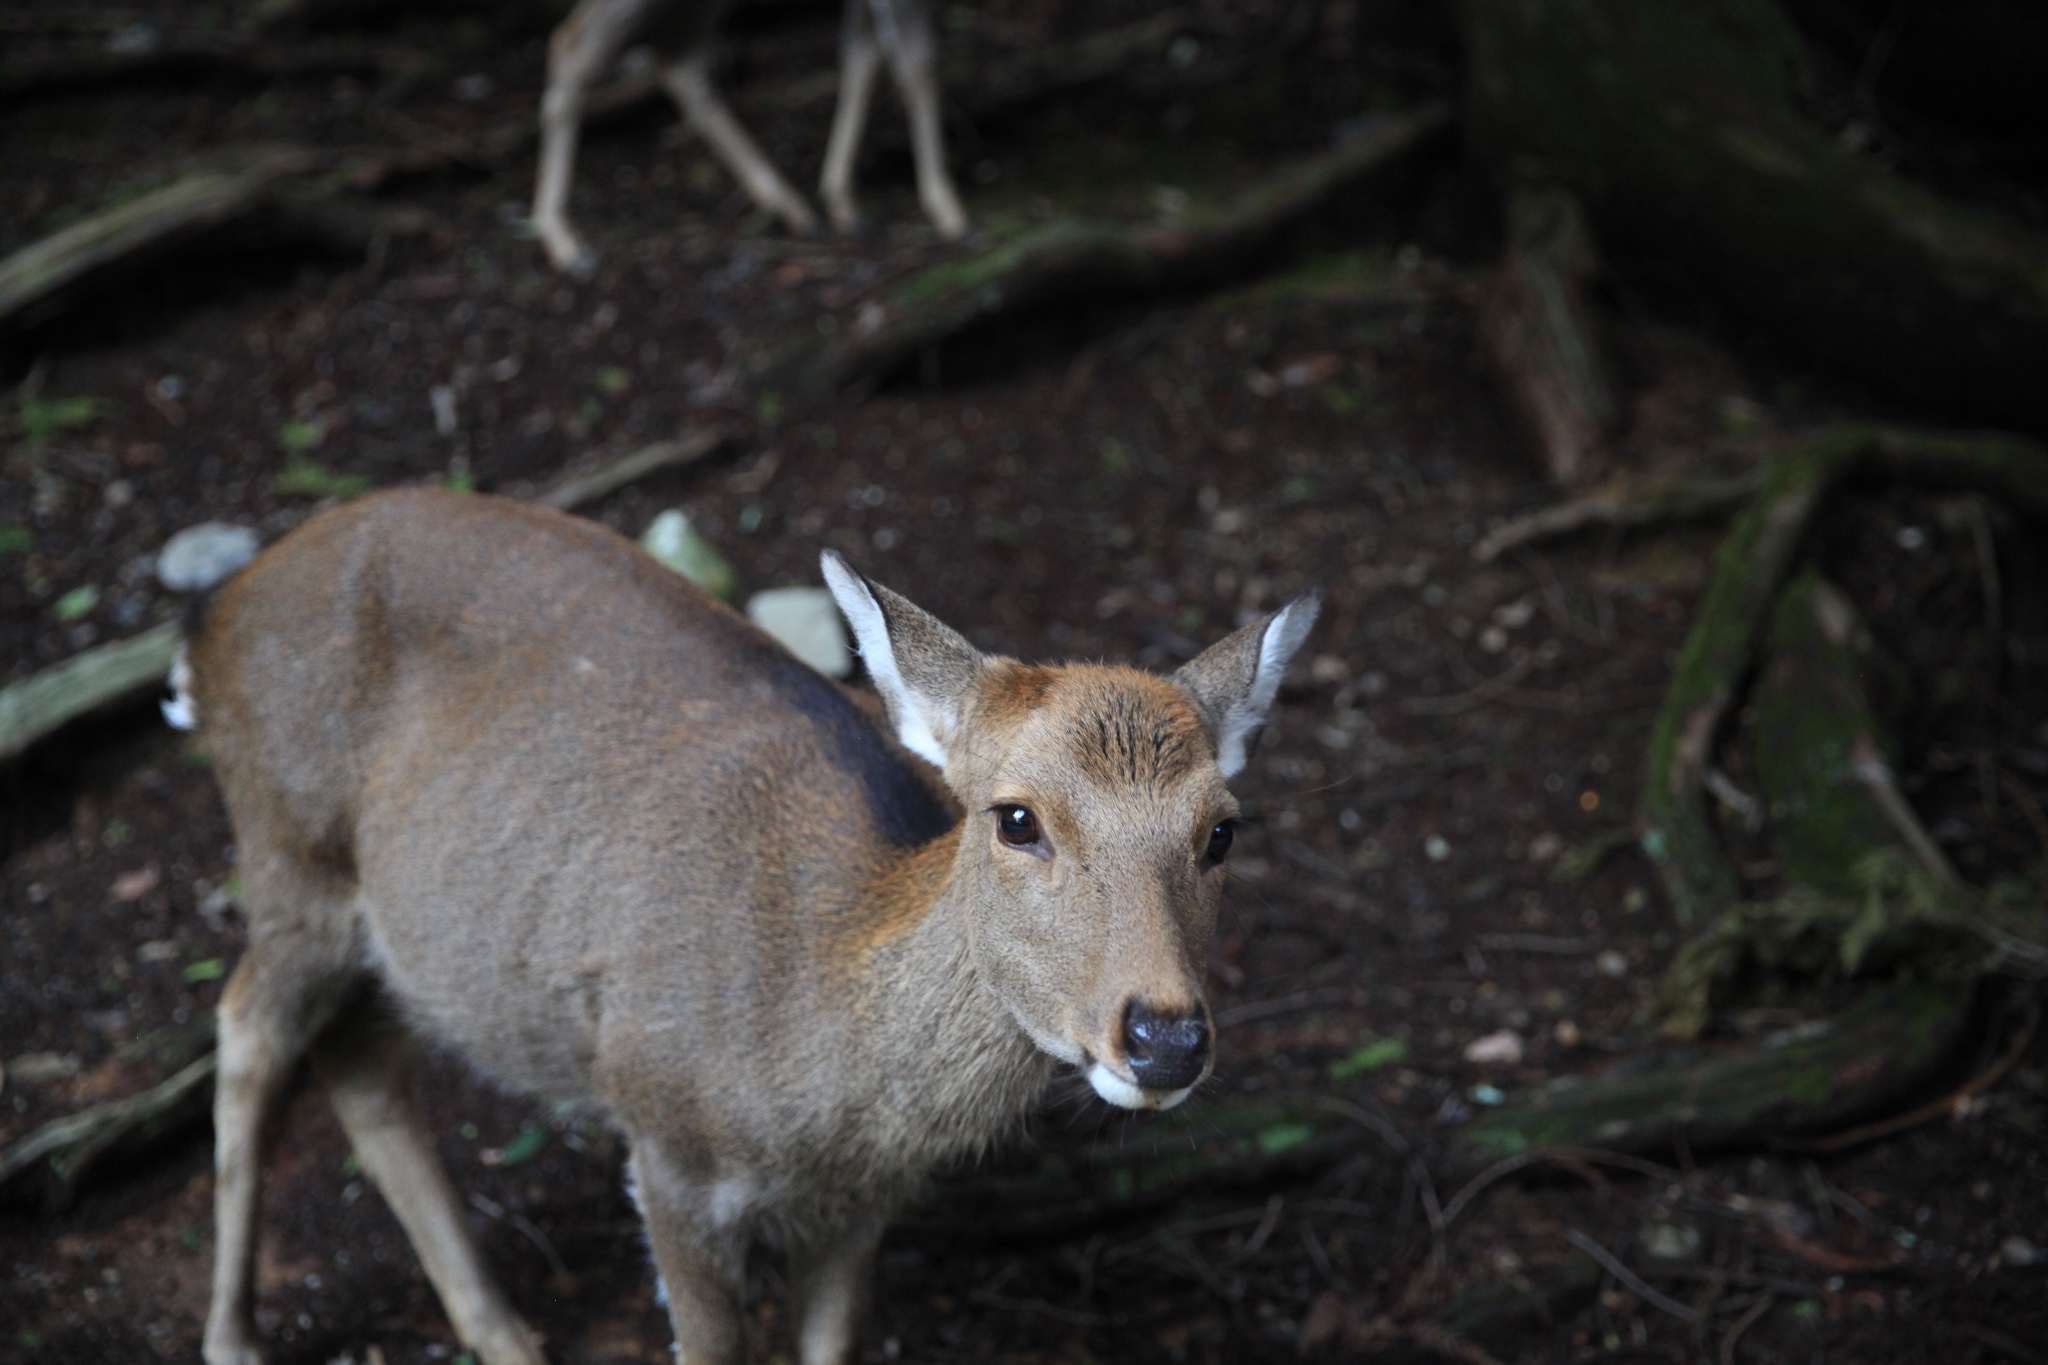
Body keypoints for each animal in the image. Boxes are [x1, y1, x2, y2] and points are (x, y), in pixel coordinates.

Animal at [176, 493, 1318, 1365]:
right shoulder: (662, 1143)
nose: (1163, 1037)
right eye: (1016, 816)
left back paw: (500, 1332)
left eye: (1222, 829)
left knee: (361, 1061)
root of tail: (213, 620)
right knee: (247, 1023)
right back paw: (233, 1337)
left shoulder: (864, 1202)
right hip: (287, 852)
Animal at [536, 0, 966, 278]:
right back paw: (563, 240)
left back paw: (794, 208)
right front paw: (949, 210)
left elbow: (864, 54)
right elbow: (917, 64)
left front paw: (841, 199)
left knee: (680, 60)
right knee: (572, 44)